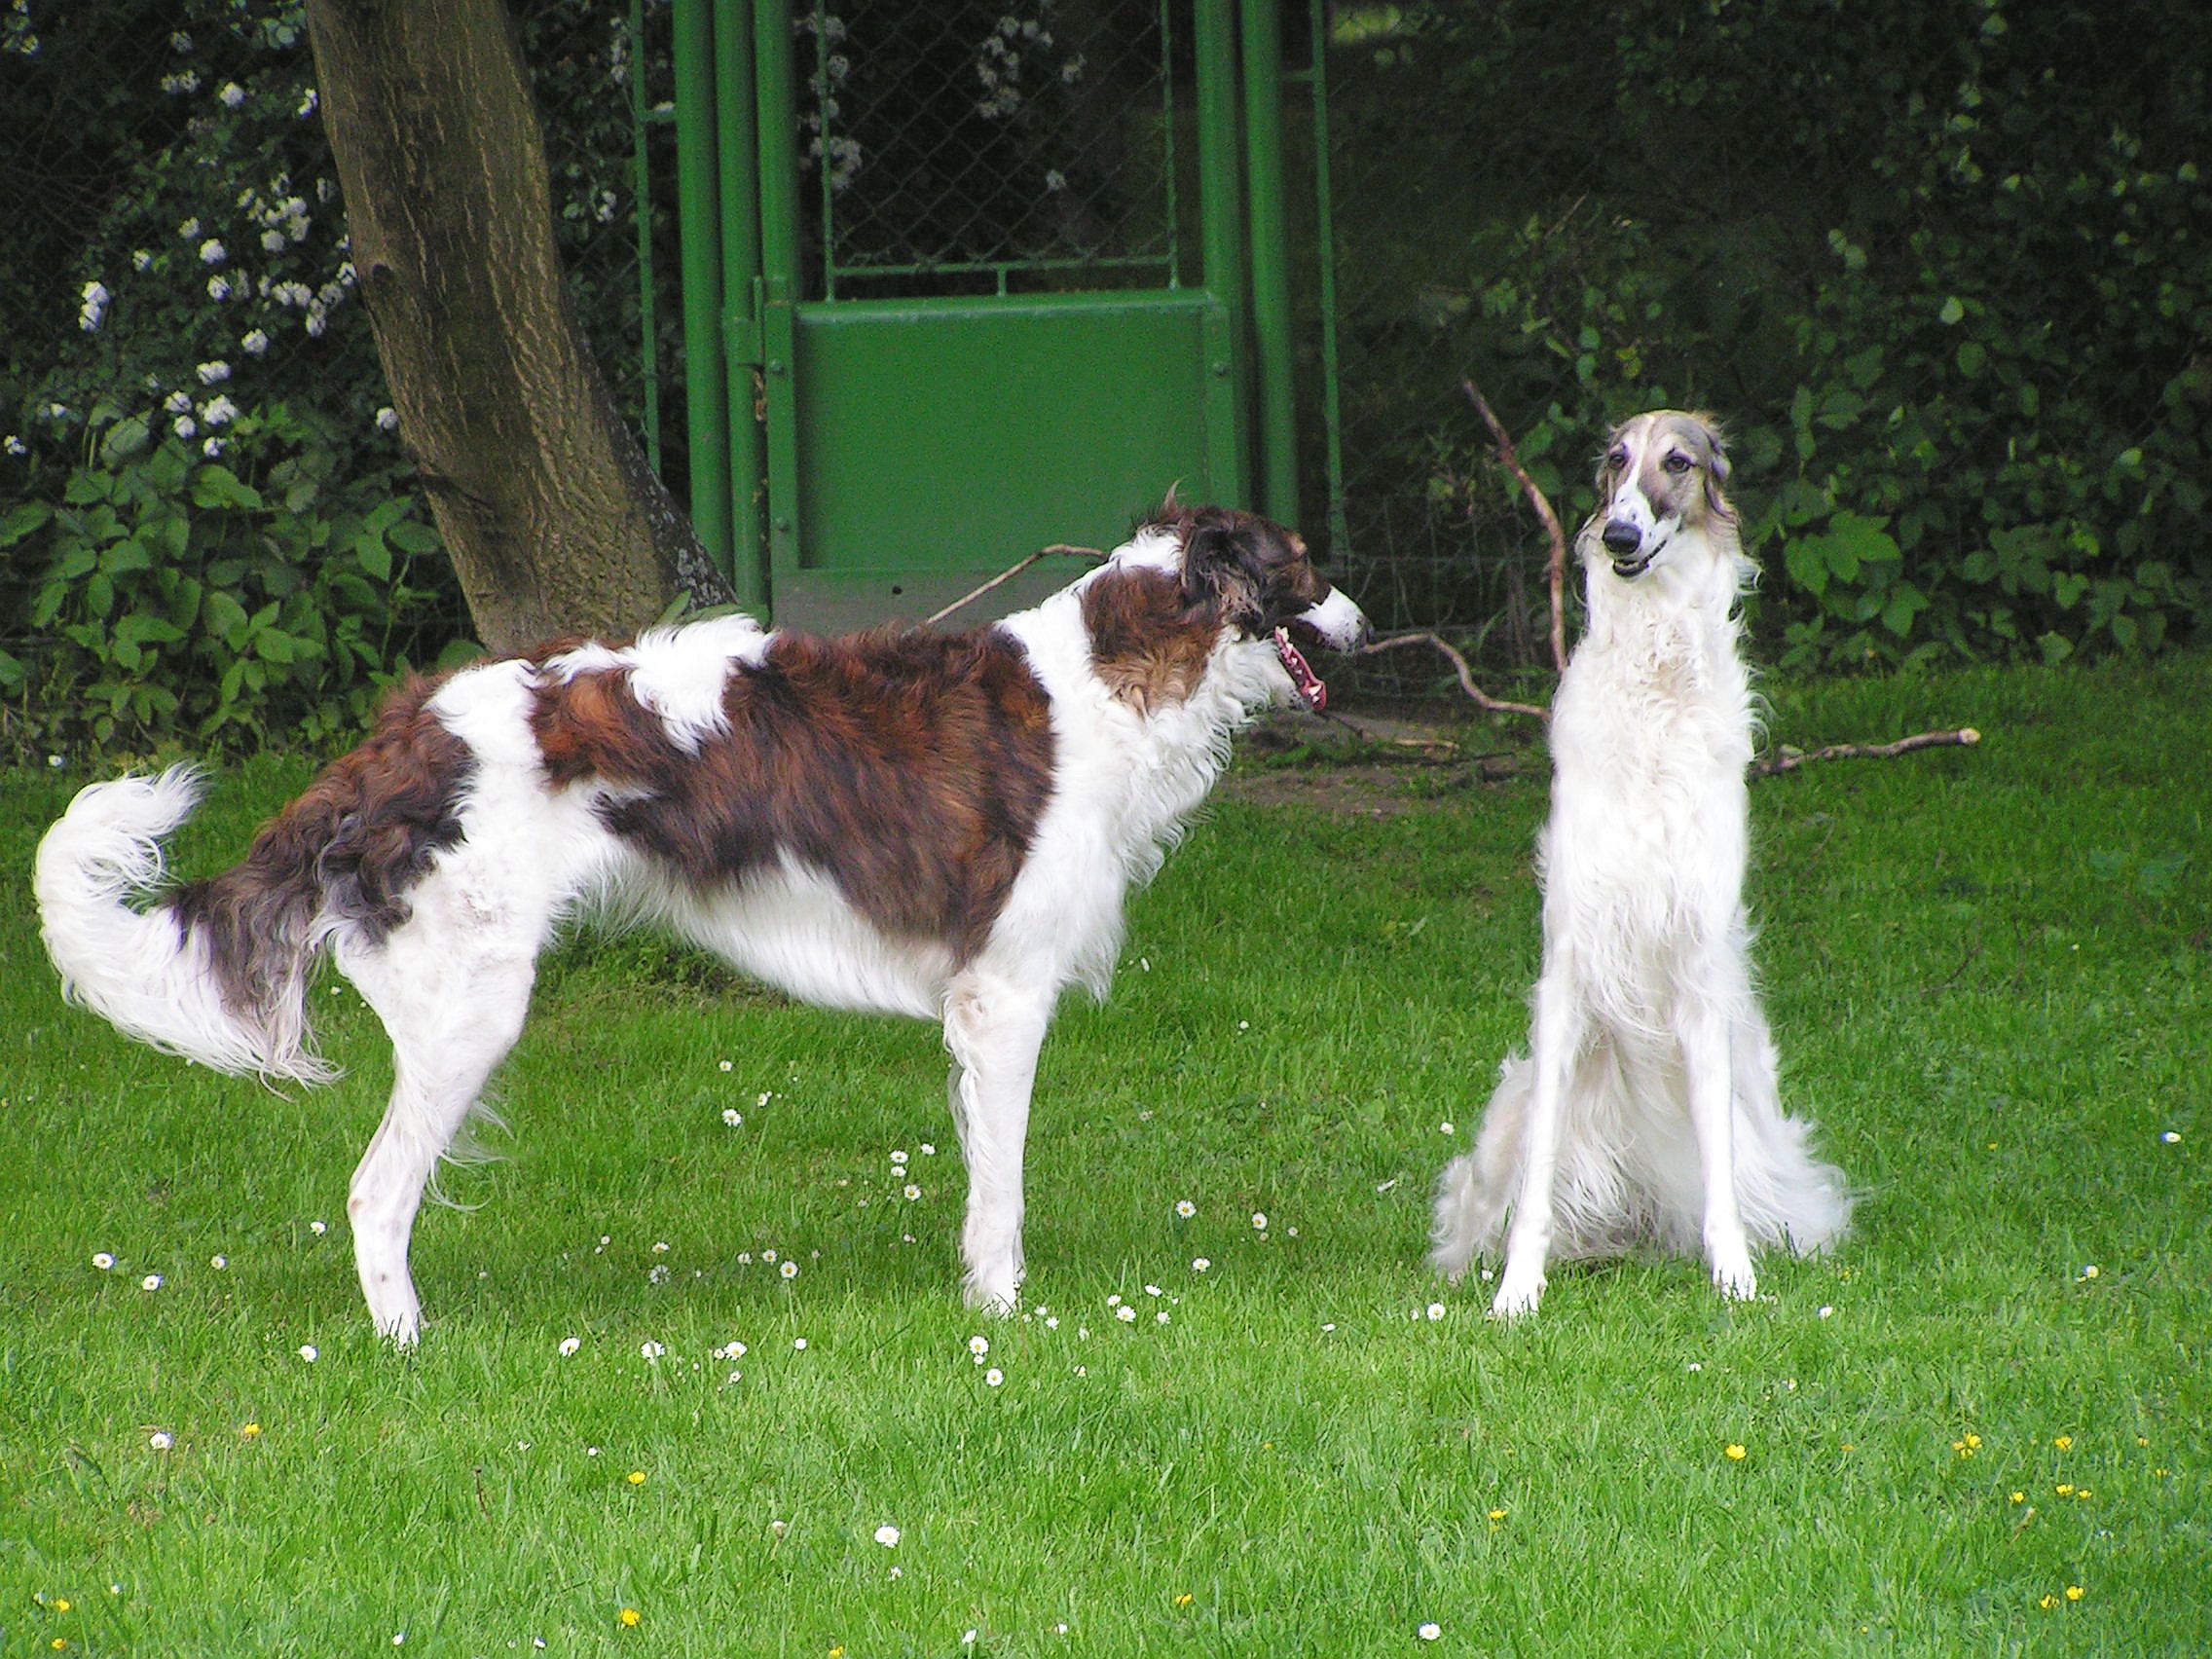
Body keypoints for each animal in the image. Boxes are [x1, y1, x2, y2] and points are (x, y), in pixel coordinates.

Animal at [39, 499, 1362, 1345]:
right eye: (1306, 565)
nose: (1361, 621)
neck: (1103, 683)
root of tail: (396, 736)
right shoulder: (1003, 995)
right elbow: (1002, 1194)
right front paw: (1000, 1315)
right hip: (472, 1009)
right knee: (373, 1193)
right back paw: (407, 1344)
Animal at [1433, 409, 1849, 1318]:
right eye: (1616, 461)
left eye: (1679, 462)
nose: (1620, 533)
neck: (1655, 683)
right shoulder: (1570, 961)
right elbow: (1536, 1188)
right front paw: (1517, 1293)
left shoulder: (1698, 969)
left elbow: (1720, 1184)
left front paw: (1734, 1280)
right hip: (1509, 1110)